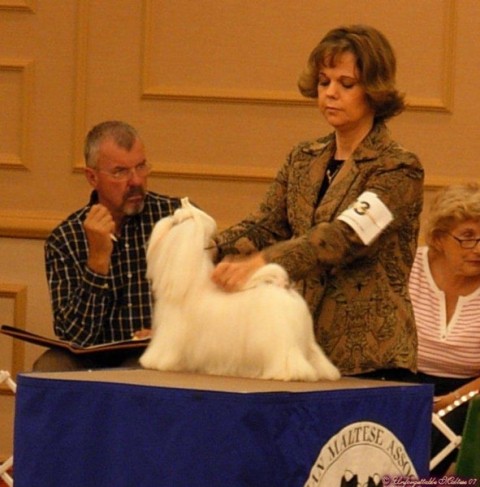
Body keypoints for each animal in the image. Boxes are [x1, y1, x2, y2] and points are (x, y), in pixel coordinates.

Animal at [141, 197, 340, 382]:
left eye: (175, 222)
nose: (166, 219)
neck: (190, 283)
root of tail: (283, 289)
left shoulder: (171, 335)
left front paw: (155, 362)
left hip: (281, 342)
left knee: (288, 358)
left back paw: (288, 374)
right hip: (306, 341)